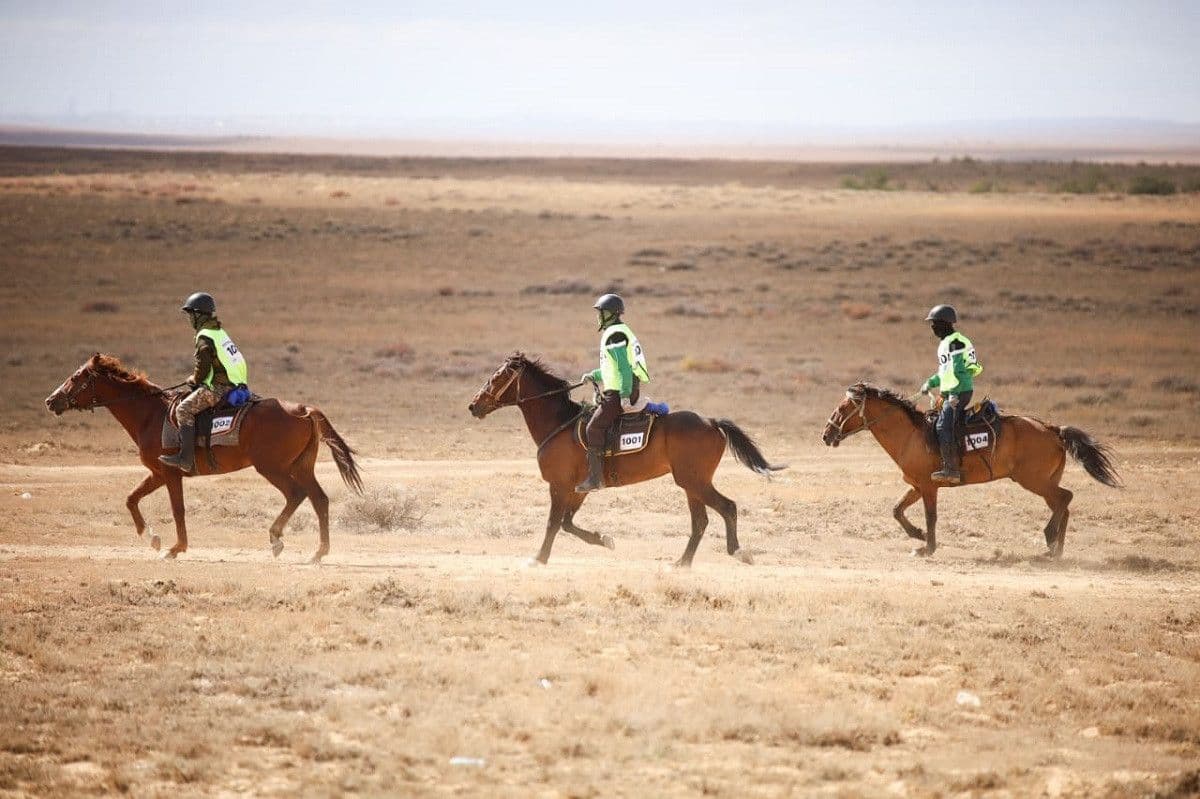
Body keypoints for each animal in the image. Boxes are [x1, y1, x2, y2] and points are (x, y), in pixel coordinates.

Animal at [44, 355, 362, 559]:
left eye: (75, 378)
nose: (50, 401)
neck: (150, 415)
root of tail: (304, 410)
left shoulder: (171, 474)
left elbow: (178, 510)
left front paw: (175, 548)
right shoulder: (158, 473)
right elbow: (131, 498)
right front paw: (152, 538)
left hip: (273, 467)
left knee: (296, 494)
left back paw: (276, 539)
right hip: (301, 466)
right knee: (319, 499)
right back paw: (318, 553)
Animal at [463, 350, 782, 566]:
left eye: (497, 377)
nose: (473, 405)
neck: (560, 423)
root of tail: (711, 422)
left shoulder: (559, 485)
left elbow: (553, 523)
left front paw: (539, 558)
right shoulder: (579, 489)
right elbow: (567, 523)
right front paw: (604, 539)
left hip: (693, 481)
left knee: (727, 507)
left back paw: (737, 552)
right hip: (692, 484)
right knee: (701, 521)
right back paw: (682, 563)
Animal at [820, 383, 1118, 556]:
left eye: (842, 408)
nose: (826, 435)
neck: (911, 435)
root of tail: (1053, 429)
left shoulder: (929, 487)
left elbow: (931, 516)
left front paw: (928, 547)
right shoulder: (917, 485)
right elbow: (897, 510)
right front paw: (918, 535)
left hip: (1035, 481)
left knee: (1066, 498)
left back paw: (1049, 540)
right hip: (1045, 482)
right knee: (1063, 505)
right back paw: (1055, 549)